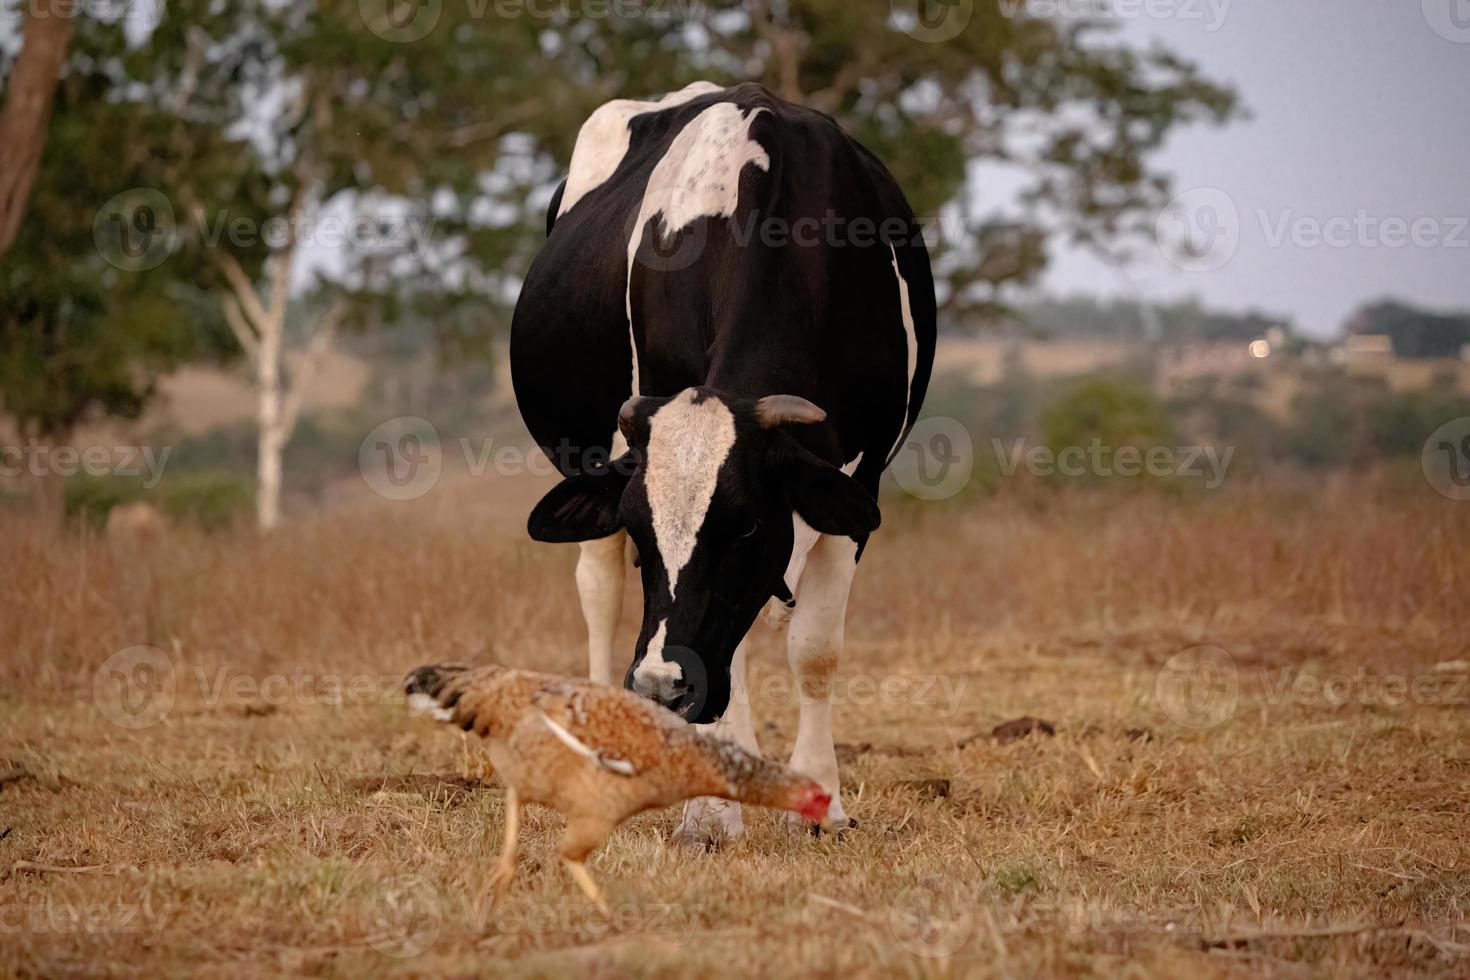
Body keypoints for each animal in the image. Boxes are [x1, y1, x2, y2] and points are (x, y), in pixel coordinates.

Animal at [511, 78, 934, 846]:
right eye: (643, 532)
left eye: (743, 527)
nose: (661, 686)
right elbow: (725, 646)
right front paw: (710, 810)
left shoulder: (855, 486)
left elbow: (815, 648)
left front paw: (823, 801)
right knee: (598, 594)